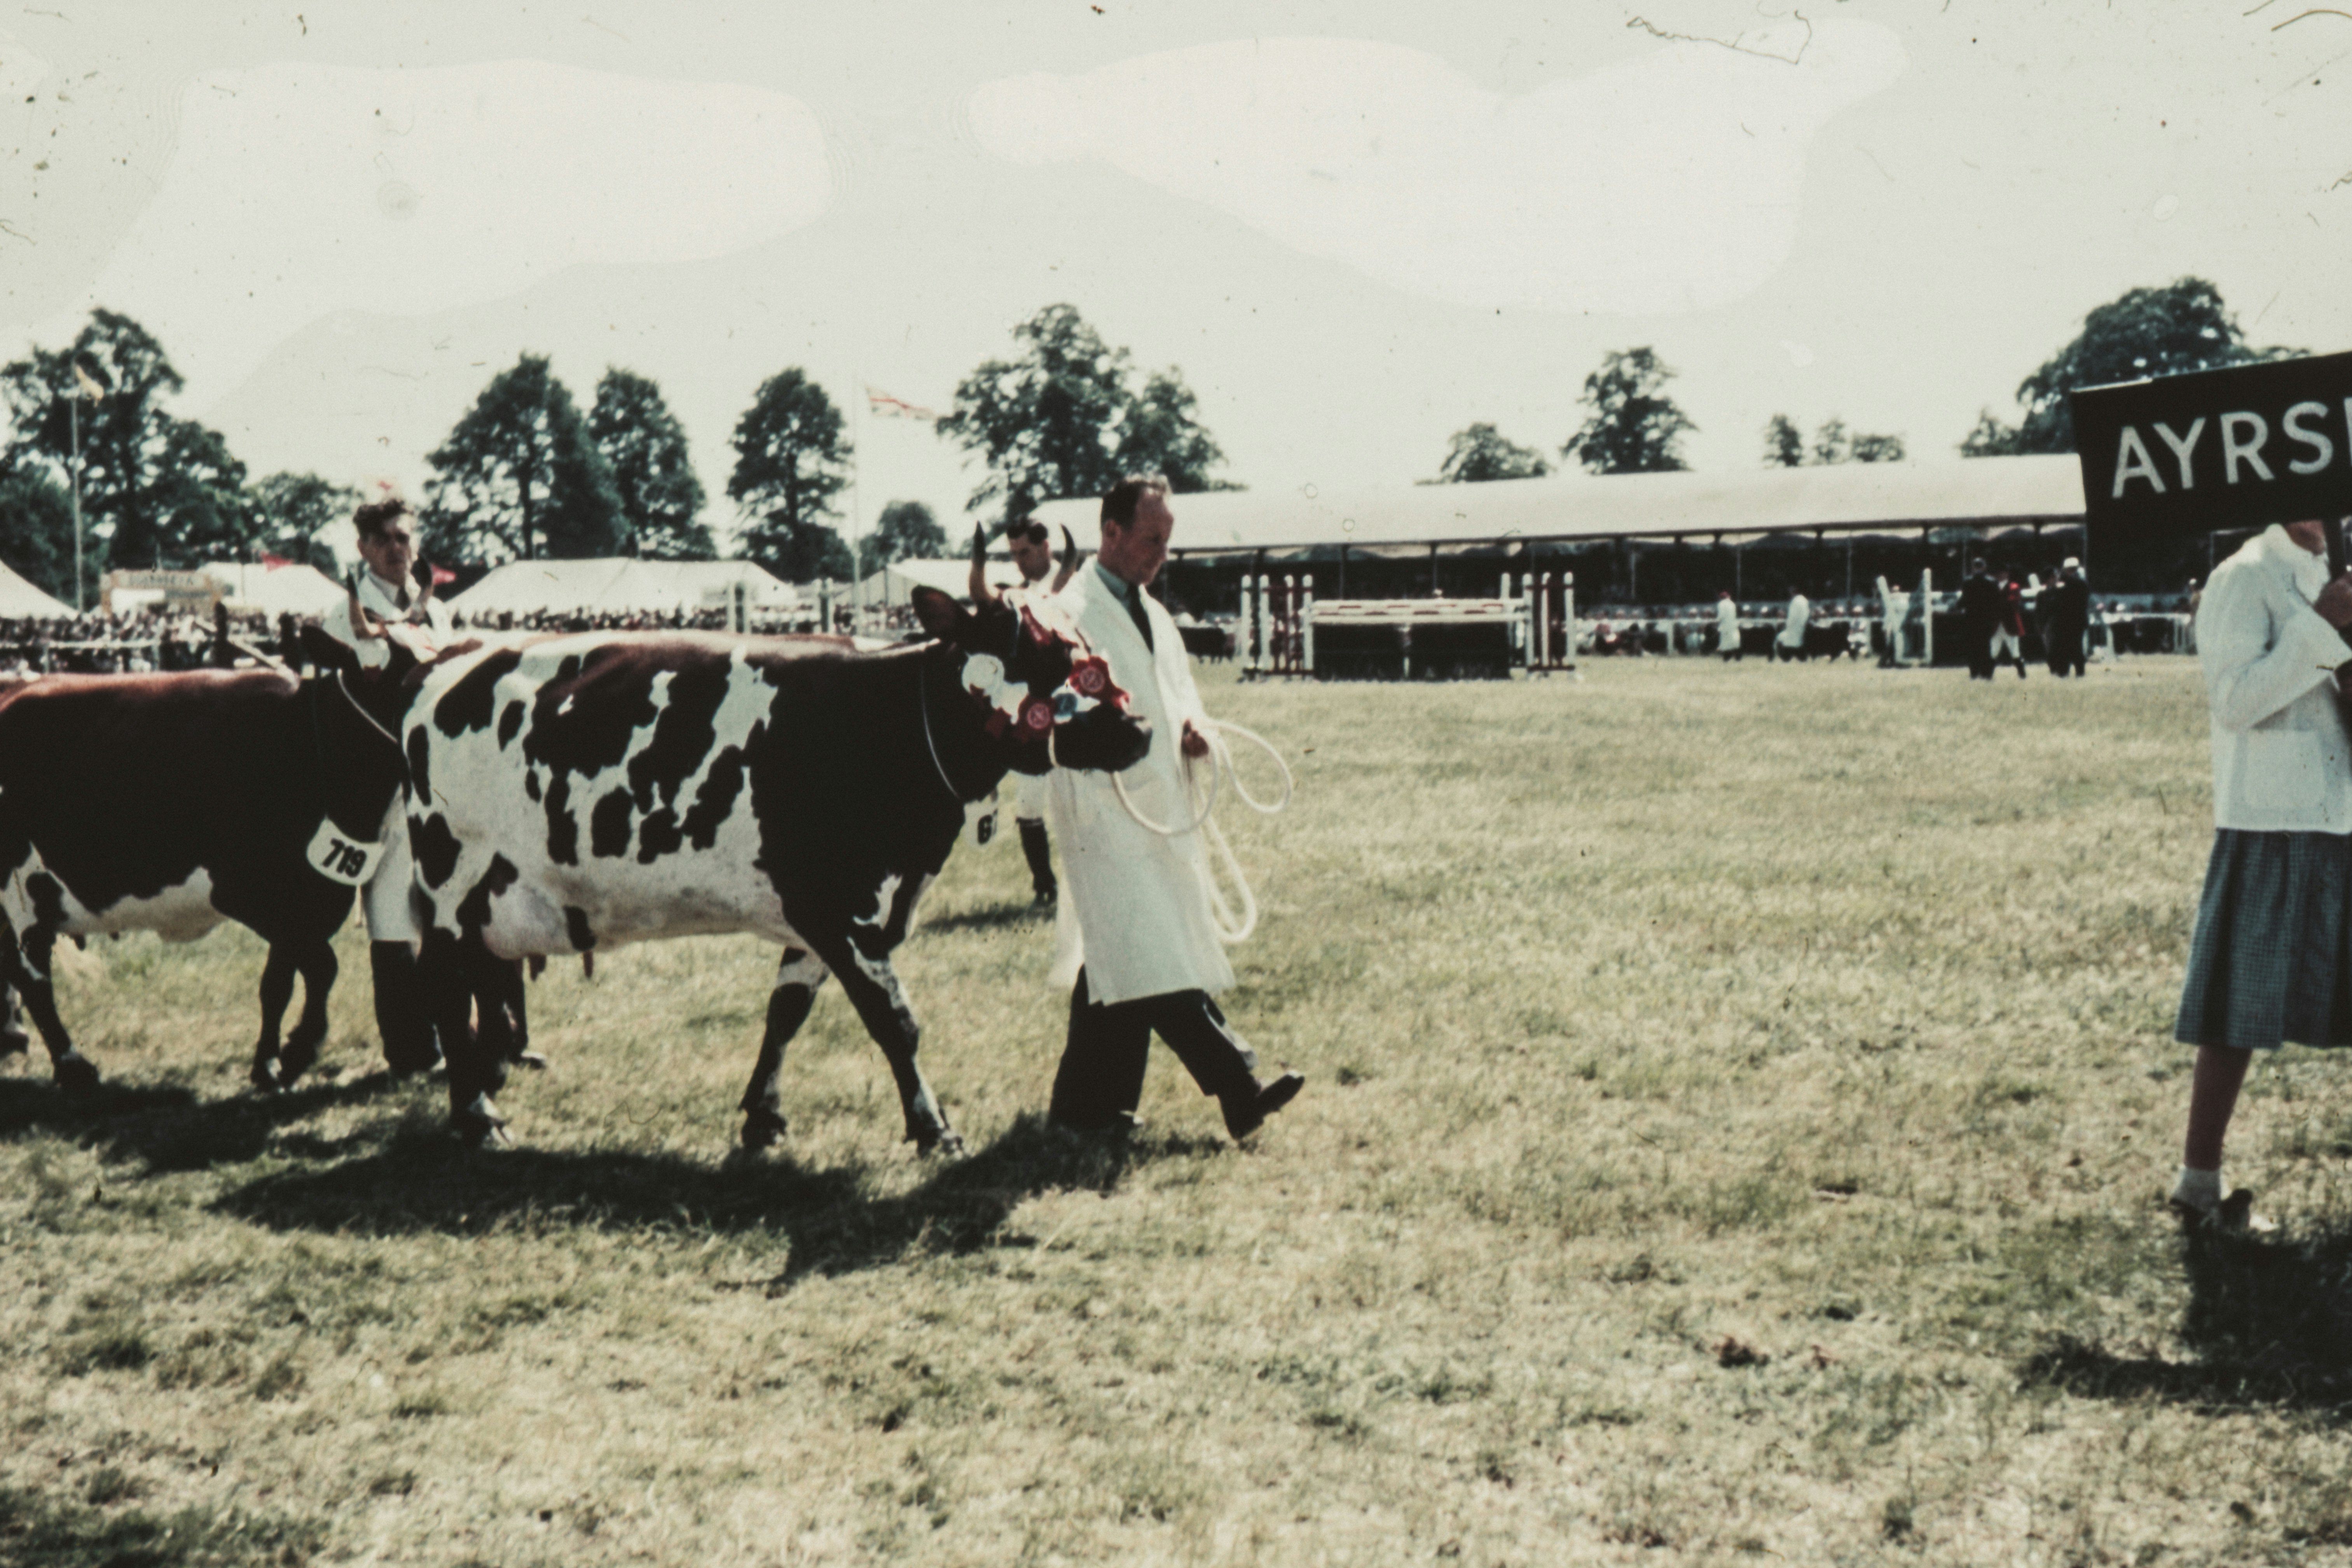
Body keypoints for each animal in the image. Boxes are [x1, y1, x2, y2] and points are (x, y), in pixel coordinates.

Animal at [407, 587, 1157, 1152]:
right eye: (1042, 652)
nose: (1140, 728)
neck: (890, 720)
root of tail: (449, 659)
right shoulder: (836, 906)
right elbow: (896, 1021)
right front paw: (933, 1127)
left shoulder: (827, 914)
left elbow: (786, 1012)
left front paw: (763, 1115)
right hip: (450, 870)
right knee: (442, 985)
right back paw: (477, 1115)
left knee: (481, 982)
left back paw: (486, 1084)